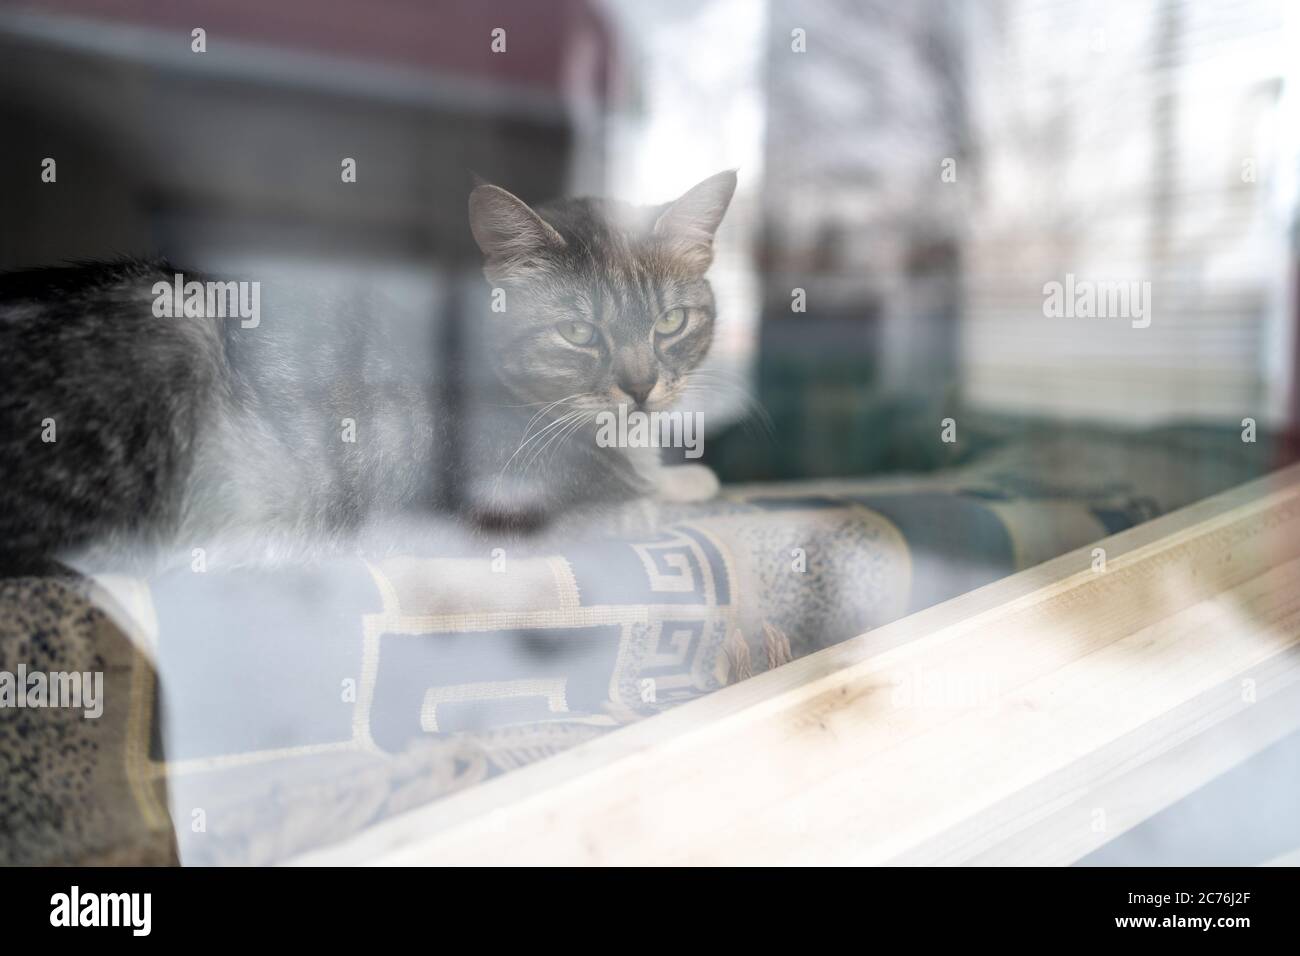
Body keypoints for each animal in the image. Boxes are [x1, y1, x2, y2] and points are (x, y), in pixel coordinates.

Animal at [0, 167, 738, 572]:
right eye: (578, 332)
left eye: (670, 322)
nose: (641, 390)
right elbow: (629, 507)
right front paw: (666, 488)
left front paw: (687, 476)